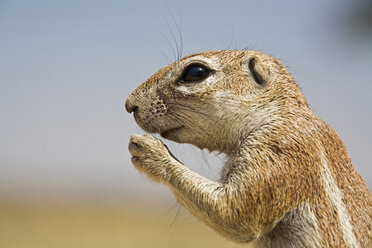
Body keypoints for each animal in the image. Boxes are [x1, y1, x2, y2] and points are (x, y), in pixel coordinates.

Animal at [125, 49, 372, 247]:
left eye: (196, 72)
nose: (129, 104)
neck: (278, 113)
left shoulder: (279, 148)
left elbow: (235, 212)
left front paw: (151, 151)